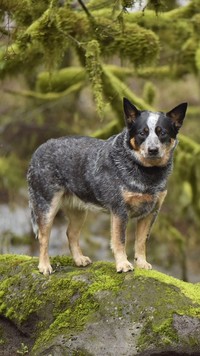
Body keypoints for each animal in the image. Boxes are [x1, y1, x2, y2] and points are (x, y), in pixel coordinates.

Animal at [27, 97, 188, 276]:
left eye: (162, 132)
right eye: (142, 132)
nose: (152, 150)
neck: (147, 174)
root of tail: (39, 150)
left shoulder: (151, 212)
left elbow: (141, 241)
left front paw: (142, 263)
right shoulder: (119, 211)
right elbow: (120, 240)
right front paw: (123, 264)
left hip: (78, 210)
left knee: (71, 233)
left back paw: (79, 259)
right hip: (47, 206)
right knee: (43, 237)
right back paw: (44, 266)